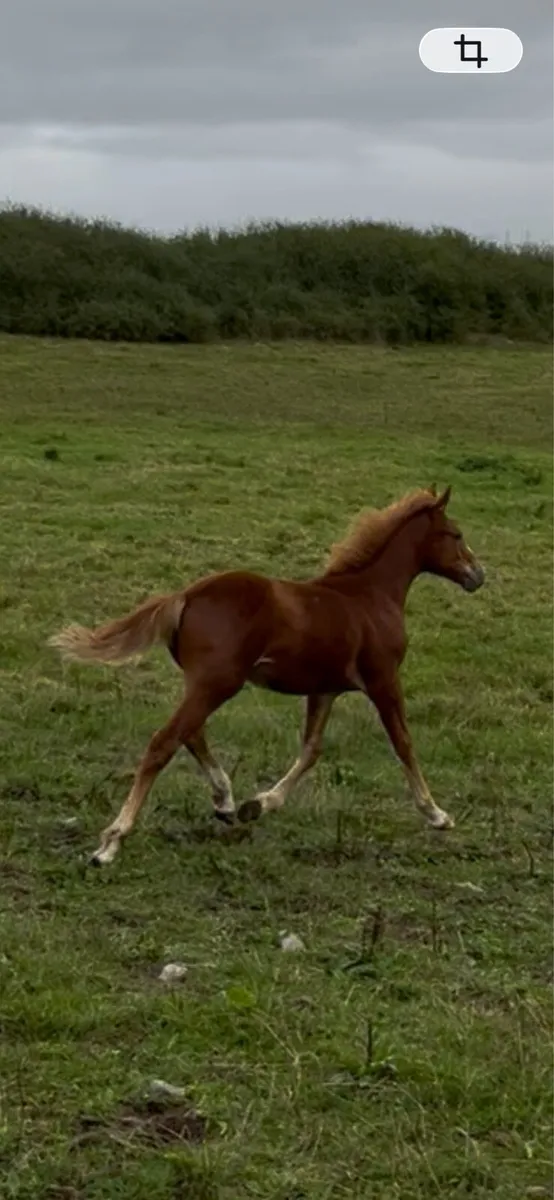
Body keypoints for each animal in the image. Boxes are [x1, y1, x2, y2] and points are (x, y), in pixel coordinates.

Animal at [48, 485, 485, 867]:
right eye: (456, 534)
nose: (478, 575)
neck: (370, 597)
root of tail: (186, 595)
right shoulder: (383, 680)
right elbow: (404, 744)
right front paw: (437, 814)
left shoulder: (325, 689)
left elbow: (311, 750)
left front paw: (257, 805)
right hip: (218, 682)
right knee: (164, 741)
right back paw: (110, 843)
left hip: (207, 683)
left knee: (190, 732)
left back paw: (225, 801)